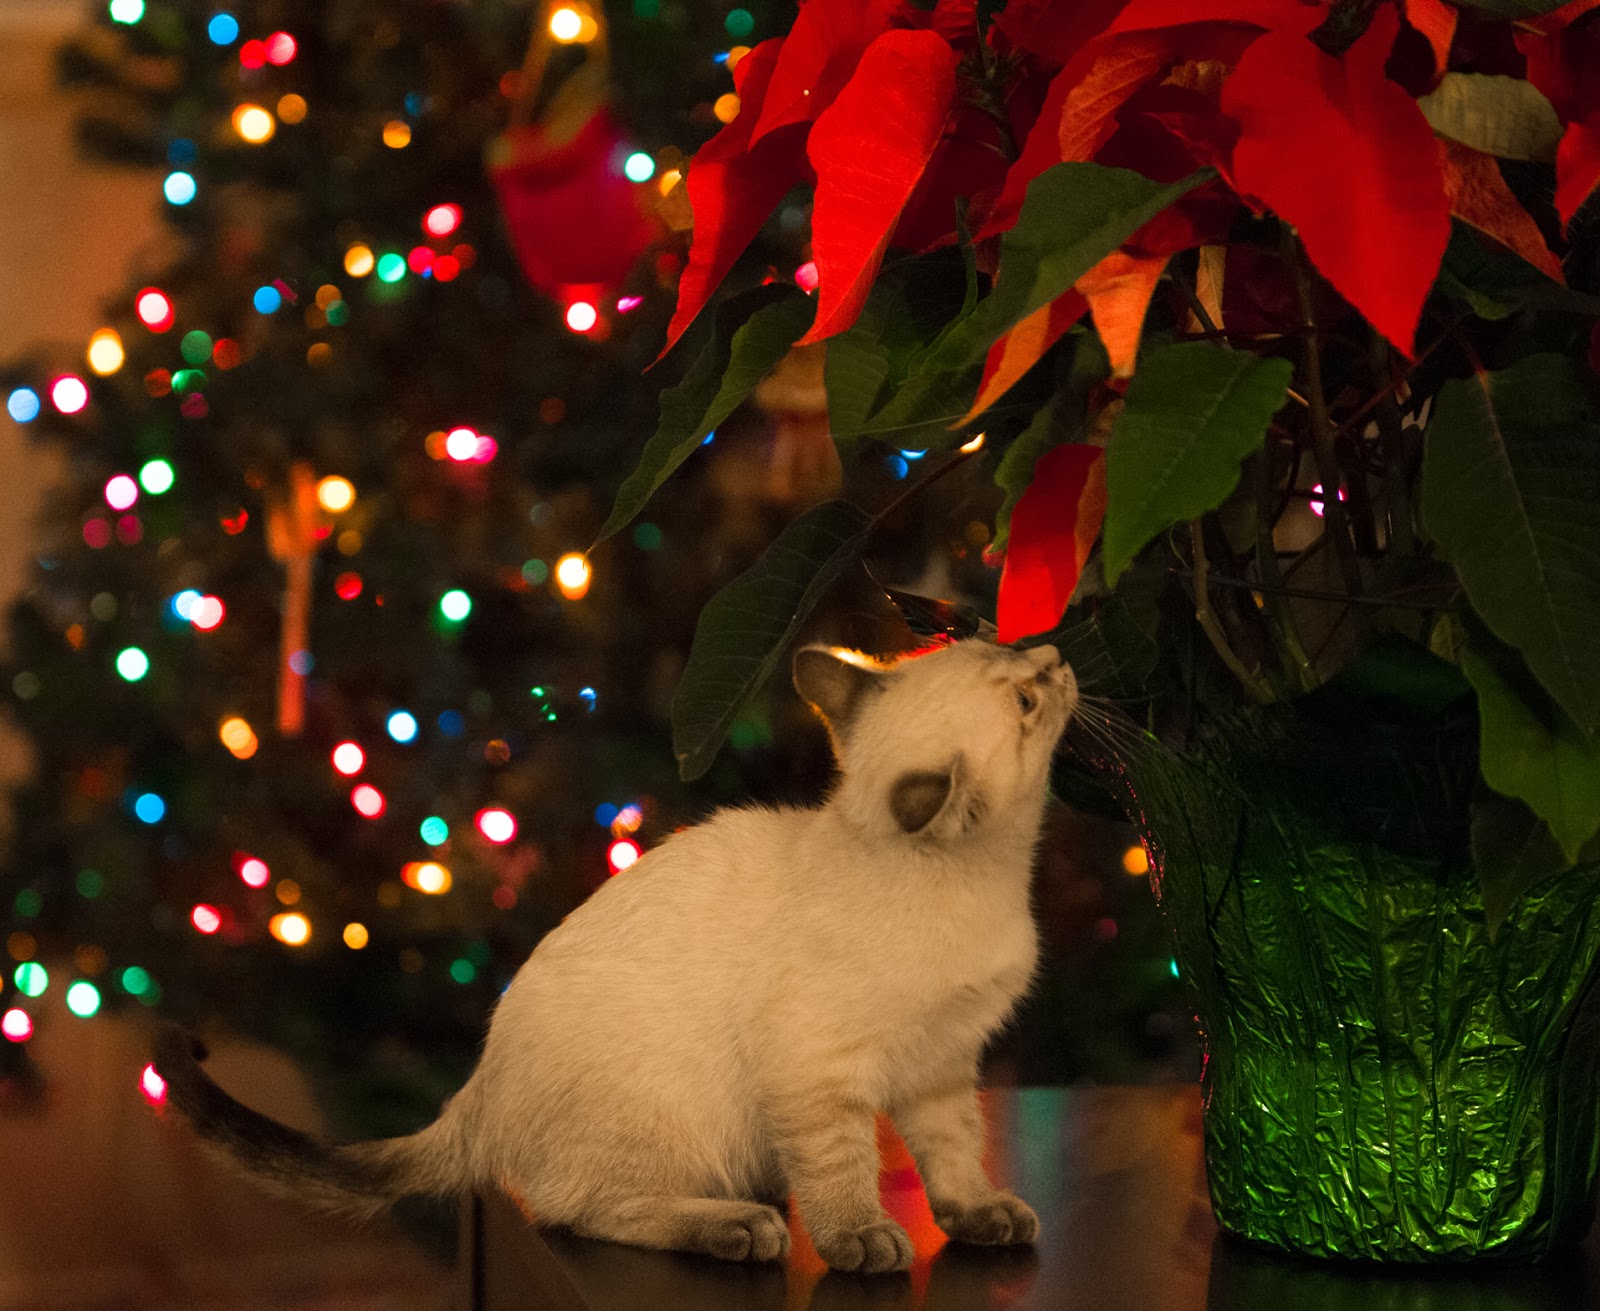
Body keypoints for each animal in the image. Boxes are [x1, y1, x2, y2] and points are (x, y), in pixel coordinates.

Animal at [152, 637, 1075, 1274]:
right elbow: (843, 1166)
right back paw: (738, 1224)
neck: (986, 878)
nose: (1059, 656)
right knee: (580, 1209)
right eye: (1029, 697)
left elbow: (954, 1153)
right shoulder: (819, 1070)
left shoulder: (942, 1063)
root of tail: (475, 1091)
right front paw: (861, 1237)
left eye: (994, 638)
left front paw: (982, 1214)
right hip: (670, 1114)